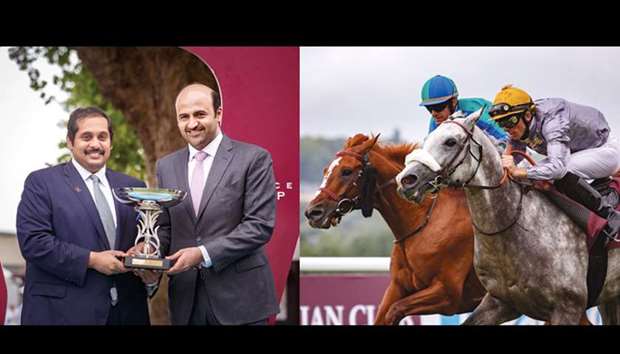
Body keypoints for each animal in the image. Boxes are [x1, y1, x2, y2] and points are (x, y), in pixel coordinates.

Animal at [302, 134, 486, 324]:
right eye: (326, 170)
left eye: (346, 171)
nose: (312, 212)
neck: (424, 221)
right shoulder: (397, 287)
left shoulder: (447, 293)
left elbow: (395, 310)